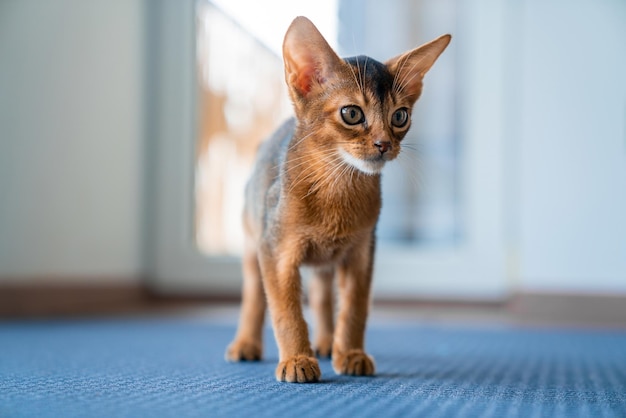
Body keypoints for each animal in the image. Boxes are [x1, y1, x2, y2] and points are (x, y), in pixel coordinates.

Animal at [224, 15, 448, 382]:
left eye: (400, 116)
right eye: (352, 114)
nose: (384, 144)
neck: (338, 188)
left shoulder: (361, 253)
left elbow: (354, 308)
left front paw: (352, 353)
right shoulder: (277, 252)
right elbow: (285, 311)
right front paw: (297, 359)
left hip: (326, 261)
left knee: (322, 296)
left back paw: (328, 343)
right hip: (253, 243)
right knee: (254, 295)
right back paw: (246, 344)